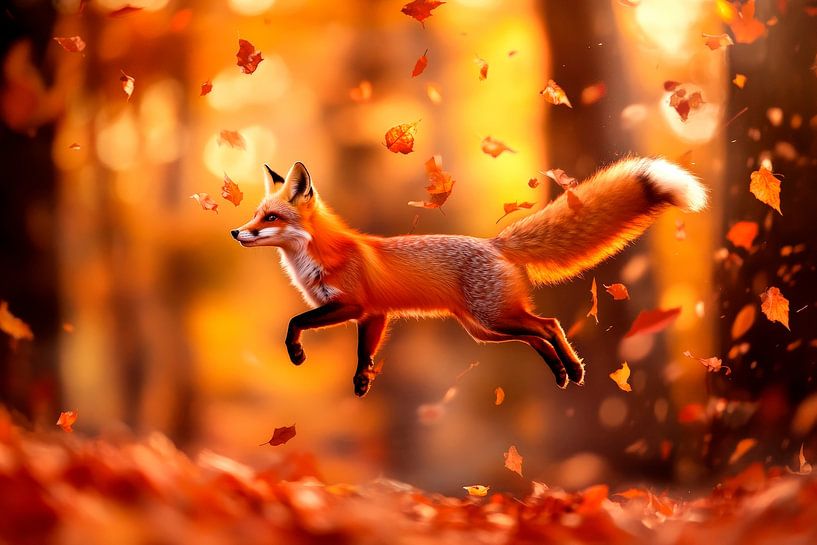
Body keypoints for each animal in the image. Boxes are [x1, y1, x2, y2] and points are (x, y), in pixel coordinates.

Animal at [231, 158, 707, 397]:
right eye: (255, 214)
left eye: (270, 218)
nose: (237, 232)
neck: (317, 259)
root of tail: (496, 243)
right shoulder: (374, 316)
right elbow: (364, 355)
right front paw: (361, 383)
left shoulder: (356, 305)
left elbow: (294, 322)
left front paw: (296, 354)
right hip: (485, 329)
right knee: (536, 336)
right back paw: (560, 372)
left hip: (493, 318)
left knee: (548, 325)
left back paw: (572, 368)